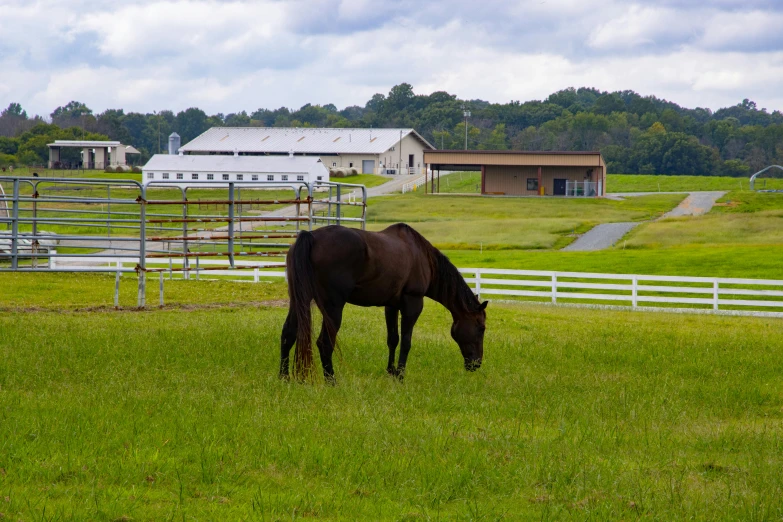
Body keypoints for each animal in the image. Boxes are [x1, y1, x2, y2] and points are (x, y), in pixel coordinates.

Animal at [278, 221, 486, 380]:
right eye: (481, 328)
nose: (477, 364)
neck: (422, 256)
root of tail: (311, 237)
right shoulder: (413, 303)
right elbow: (406, 341)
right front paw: (400, 375)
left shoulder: (391, 306)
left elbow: (393, 339)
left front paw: (391, 371)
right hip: (333, 308)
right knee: (325, 343)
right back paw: (331, 381)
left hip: (299, 301)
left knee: (288, 334)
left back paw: (284, 378)